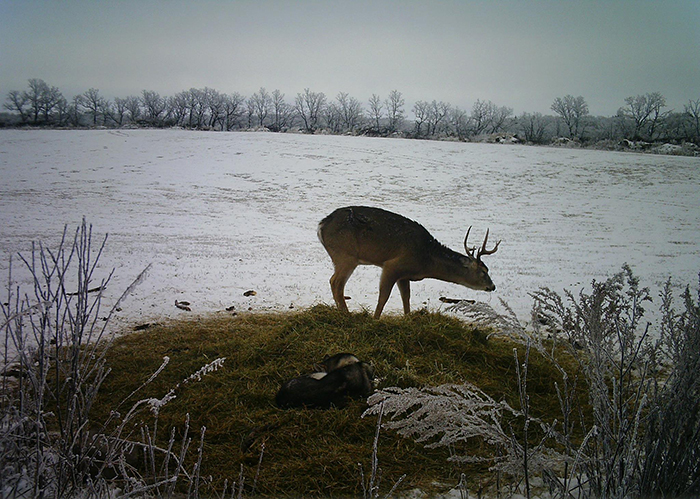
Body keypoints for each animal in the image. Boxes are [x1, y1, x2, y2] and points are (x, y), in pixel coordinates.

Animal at [317, 206, 500, 319]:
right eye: (483, 272)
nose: (492, 286)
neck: (425, 260)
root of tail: (321, 225)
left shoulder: (404, 275)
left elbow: (406, 297)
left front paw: (408, 317)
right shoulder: (393, 265)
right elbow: (383, 297)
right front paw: (375, 319)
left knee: (334, 282)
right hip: (346, 255)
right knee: (336, 282)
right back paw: (346, 314)